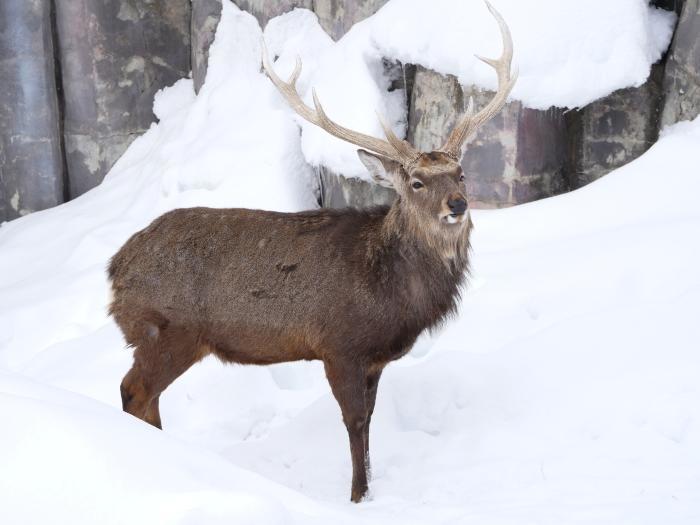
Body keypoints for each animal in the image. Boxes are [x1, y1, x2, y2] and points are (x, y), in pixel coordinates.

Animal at [109, 2, 516, 502]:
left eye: (460, 174)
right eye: (418, 183)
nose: (457, 205)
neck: (388, 292)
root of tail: (114, 270)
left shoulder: (374, 359)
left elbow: (370, 422)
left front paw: (369, 490)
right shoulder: (338, 344)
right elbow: (354, 421)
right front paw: (357, 496)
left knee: (145, 396)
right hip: (165, 329)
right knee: (134, 391)